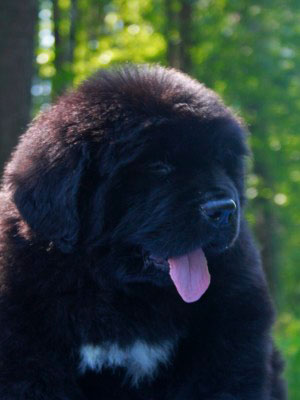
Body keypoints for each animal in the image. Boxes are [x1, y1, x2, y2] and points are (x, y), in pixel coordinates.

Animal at [0, 65, 286, 400]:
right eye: (159, 166)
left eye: (221, 161)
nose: (225, 209)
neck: (126, 298)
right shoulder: (26, 351)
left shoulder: (231, 338)